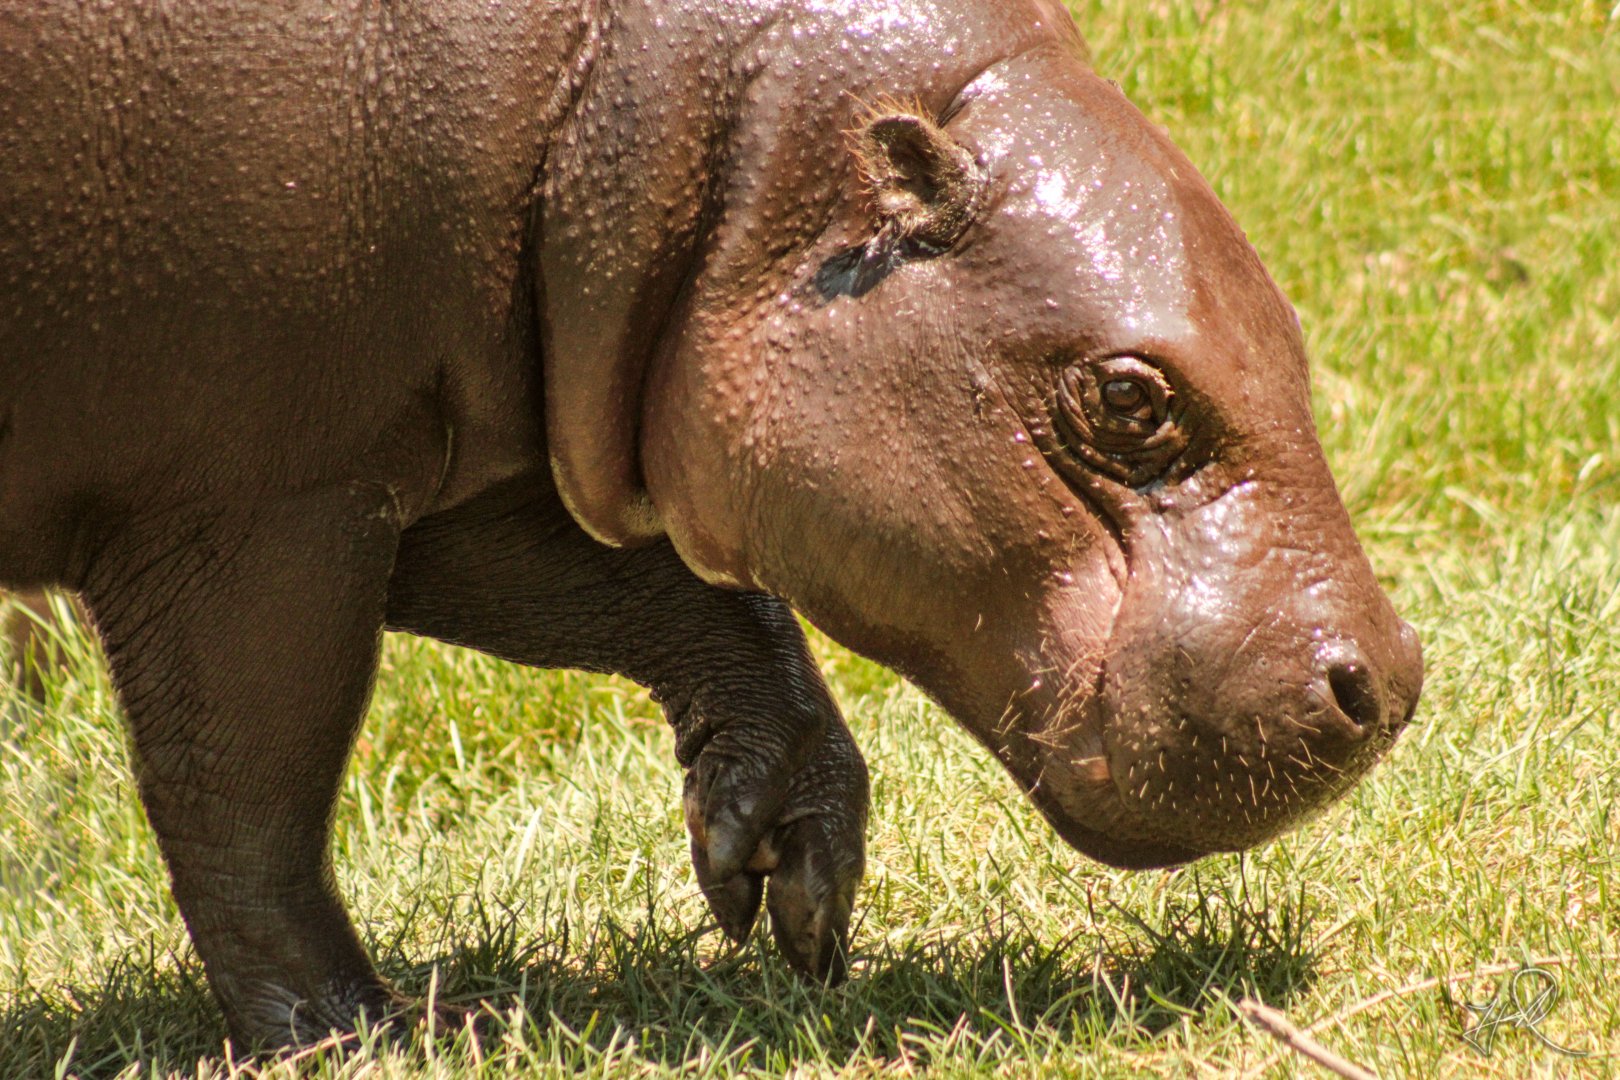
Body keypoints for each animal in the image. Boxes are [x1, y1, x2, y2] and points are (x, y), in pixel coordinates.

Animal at [0, 0, 1421, 1050]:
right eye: (1129, 399)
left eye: (1290, 332)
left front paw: (790, 869)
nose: (1394, 683)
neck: (721, 144)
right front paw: (357, 1035)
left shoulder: (437, 461)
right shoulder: (261, 498)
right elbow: (244, 788)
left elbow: (662, 598)